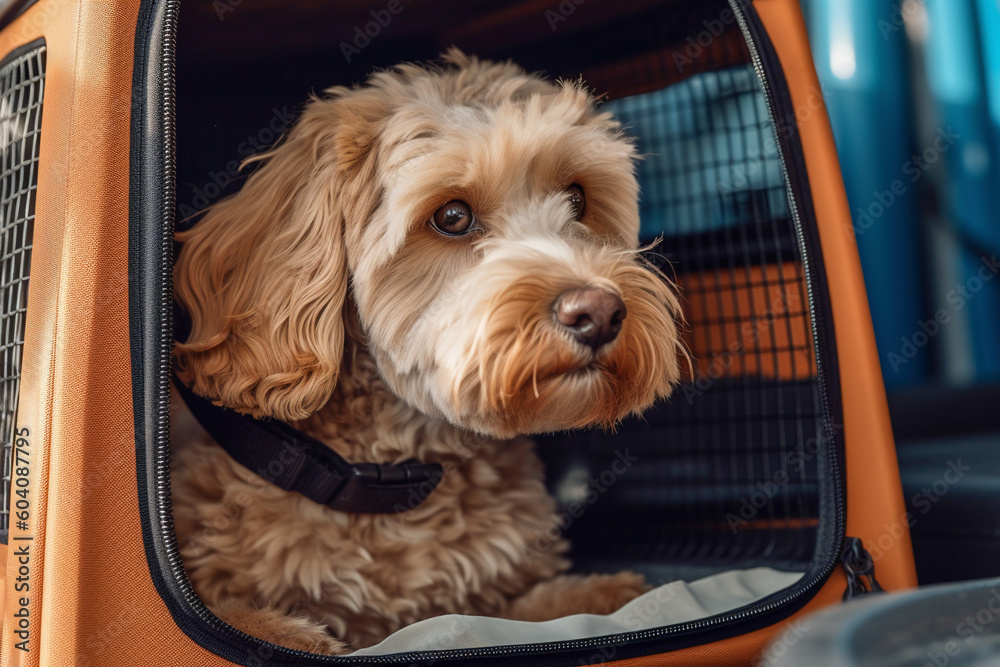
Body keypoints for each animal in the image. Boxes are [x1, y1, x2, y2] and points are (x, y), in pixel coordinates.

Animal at [172, 49, 688, 656]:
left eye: (578, 199)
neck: (400, 471)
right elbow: (244, 617)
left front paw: (608, 592)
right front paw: (290, 632)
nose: (599, 313)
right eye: (452, 217)